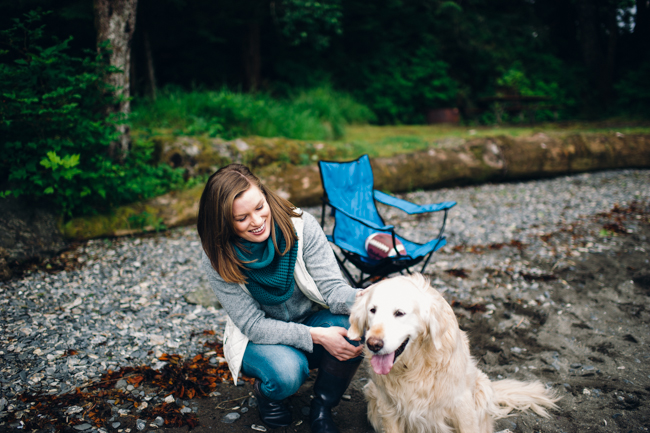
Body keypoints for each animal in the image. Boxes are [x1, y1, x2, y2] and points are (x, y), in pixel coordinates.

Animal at [350, 274, 556, 432]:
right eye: (372, 310)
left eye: (399, 313)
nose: (373, 344)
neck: (414, 367)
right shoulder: (388, 407)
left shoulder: (461, 404)